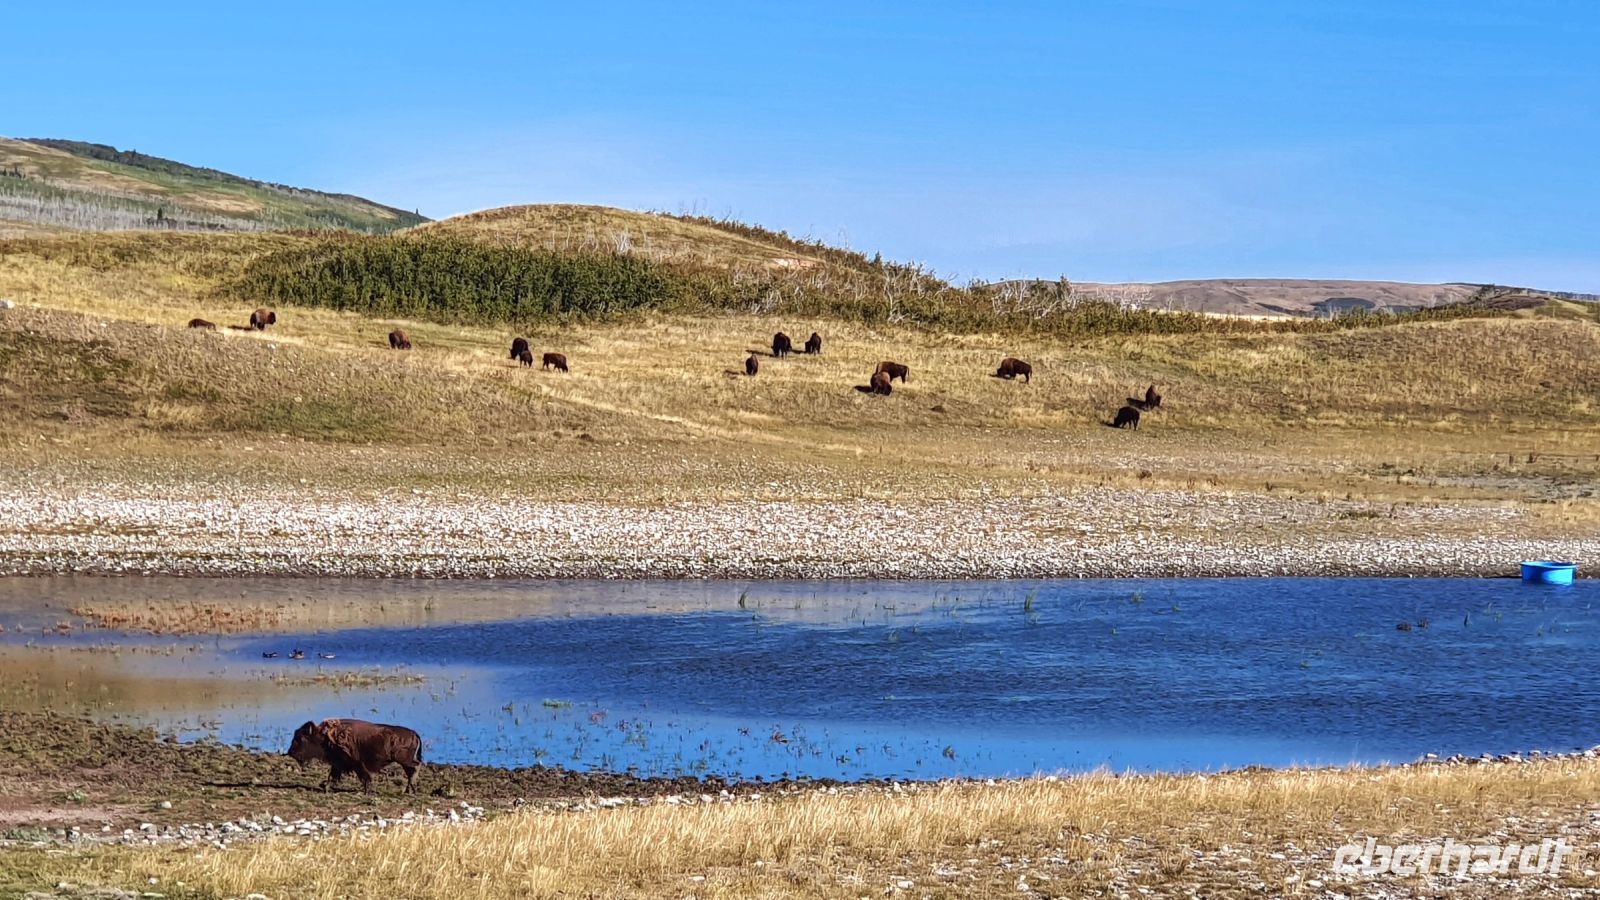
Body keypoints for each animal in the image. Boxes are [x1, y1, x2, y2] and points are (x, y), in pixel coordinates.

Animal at [287, 718, 423, 794]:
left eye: (300, 738)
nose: (290, 752)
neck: (324, 737)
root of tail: (414, 734)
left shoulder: (356, 764)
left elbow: (365, 777)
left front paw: (366, 791)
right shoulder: (338, 764)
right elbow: (333, 775)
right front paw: (325, 787)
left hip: (404, 760)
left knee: (416, 766)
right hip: (404, 762)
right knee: (411, 771)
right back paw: (409, 790)